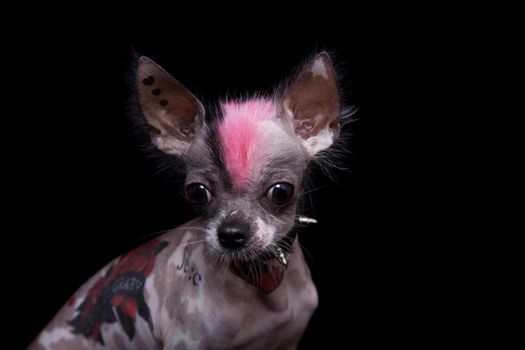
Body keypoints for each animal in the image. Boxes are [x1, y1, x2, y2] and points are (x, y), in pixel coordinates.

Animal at [28, 52, 348, 350]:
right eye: (197, 192)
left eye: (281, 192)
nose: (230, 234)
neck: (259, 276)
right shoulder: (186, 342)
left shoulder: (287, 341)